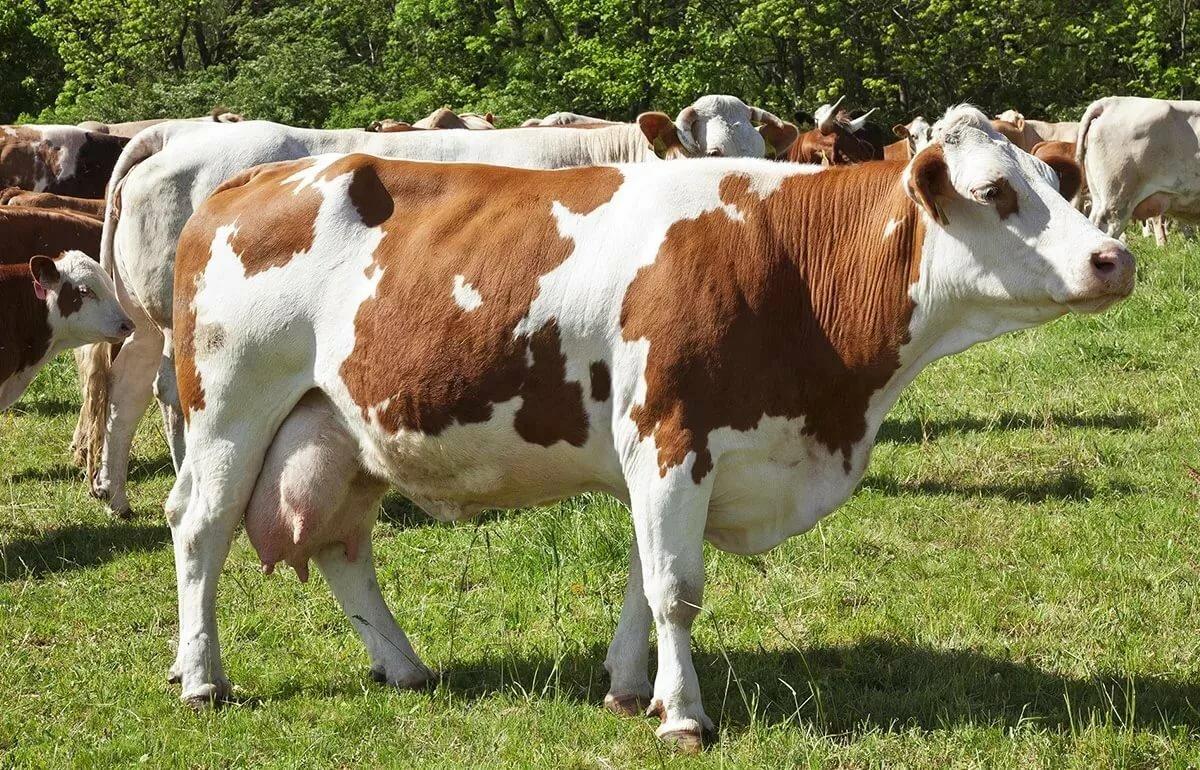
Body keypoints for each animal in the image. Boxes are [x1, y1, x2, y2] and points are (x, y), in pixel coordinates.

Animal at [77, 95, 800, 518]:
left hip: (147, 319)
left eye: (765, 152)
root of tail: (167, 136)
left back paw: (115, 493)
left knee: (130, 389)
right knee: (170, 395)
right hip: (189, 326)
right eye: (706, 154)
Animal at [163, 106, 1131, 752]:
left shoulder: (672, 453)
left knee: (341, 545)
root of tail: (254, 179)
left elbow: (642, 575)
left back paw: (402, 665)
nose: (1114, 259)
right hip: (229, 412)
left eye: (1056, 182)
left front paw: (634, 692)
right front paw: (686, 716)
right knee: (200, 528)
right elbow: (676, 586)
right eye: (996, 192)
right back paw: (202, 678)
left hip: (345, 425)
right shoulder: (670, 434)